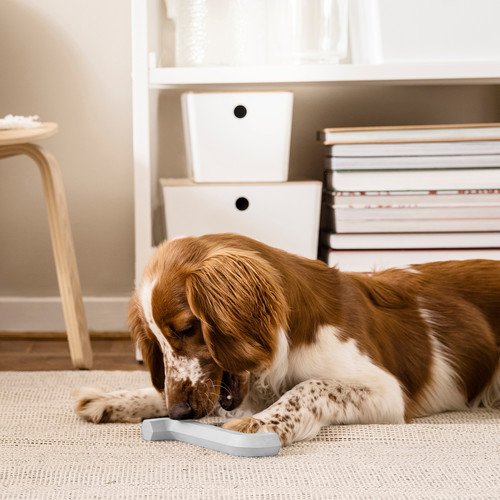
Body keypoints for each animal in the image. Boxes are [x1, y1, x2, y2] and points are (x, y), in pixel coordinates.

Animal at [73, 234, 500, 446]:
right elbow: (159, 389)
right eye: (155, 341)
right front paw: (113, 398)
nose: (178, 414)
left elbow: (309, 387)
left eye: (185, 328)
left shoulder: (387, 391)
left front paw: (262, 423)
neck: (286, 341)